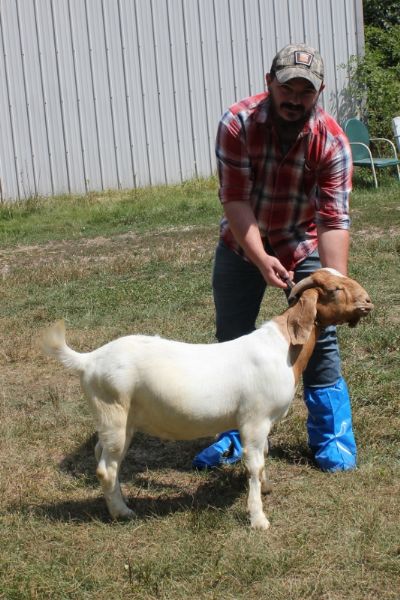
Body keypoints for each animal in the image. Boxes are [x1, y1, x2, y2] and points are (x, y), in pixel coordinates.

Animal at [42, 268, 374, 528]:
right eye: (335, 289)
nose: (368, 302)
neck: (283, 349)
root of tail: (89, 360)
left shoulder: (263, 423)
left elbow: (264, 458)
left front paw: (266, 488)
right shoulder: (254, 420)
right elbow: (254, 464)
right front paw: (258, 519)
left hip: (119, 421)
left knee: (103, 454)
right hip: (113, 412)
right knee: (106, 467)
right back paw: (122, 512)